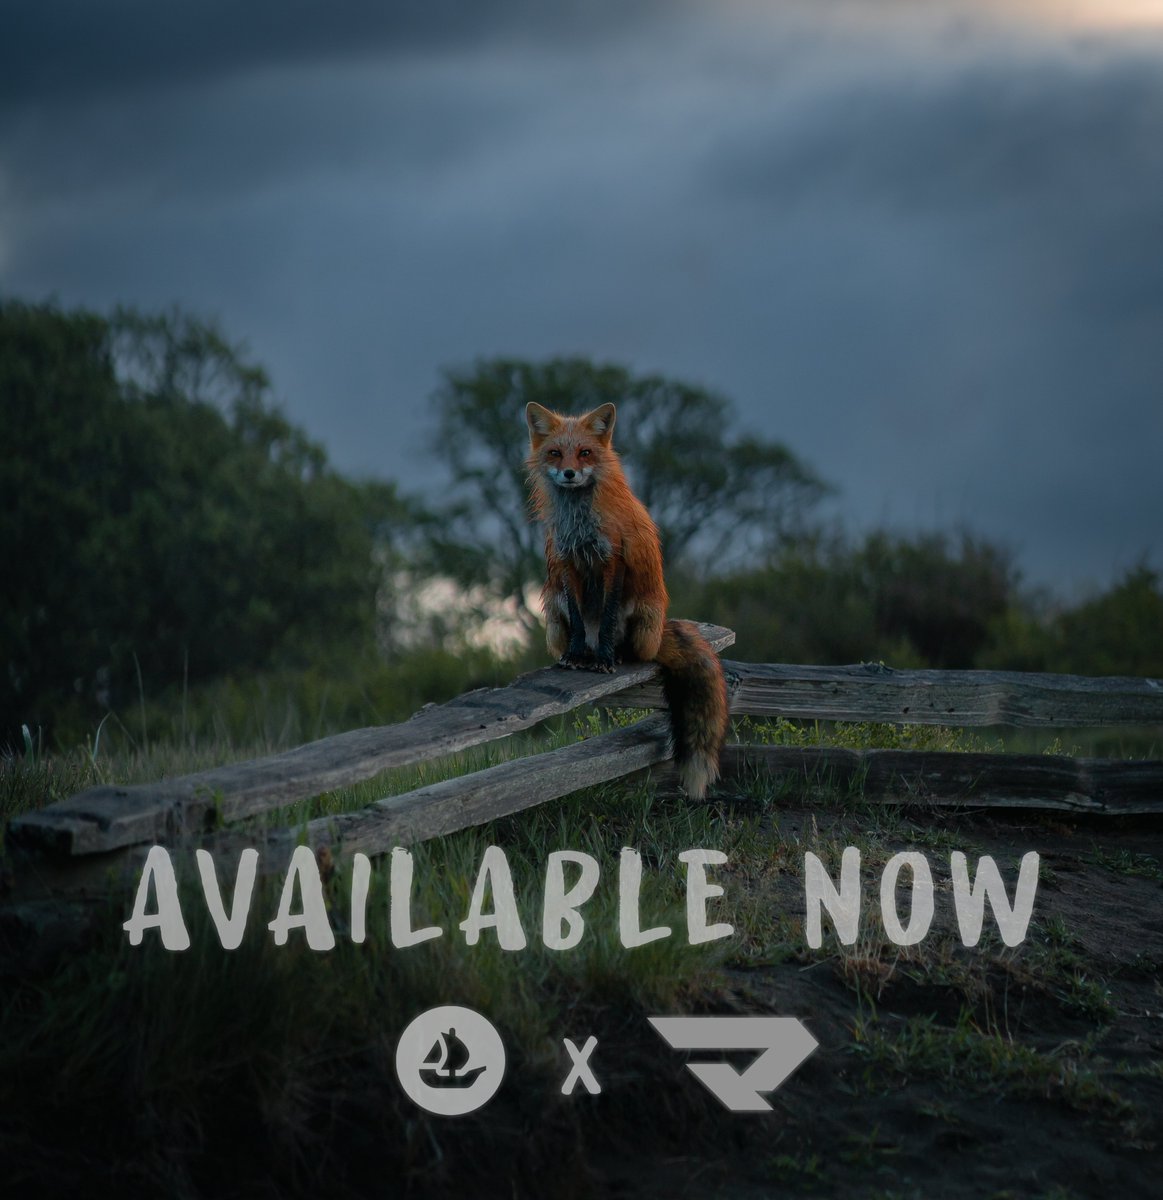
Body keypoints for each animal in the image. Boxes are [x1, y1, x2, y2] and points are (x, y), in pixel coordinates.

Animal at [525, 400, 729, 799]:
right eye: (555, 453)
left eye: (585, 453)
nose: (569, 473)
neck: (580, 521)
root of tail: (661, 632)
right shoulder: (568, 562)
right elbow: (580, 618)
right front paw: (577, 656)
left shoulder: (613, 559)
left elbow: (605, 616)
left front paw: (604, 659)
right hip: (553, 612)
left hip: (642, 616)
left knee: (635, 651)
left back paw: (616, 654)